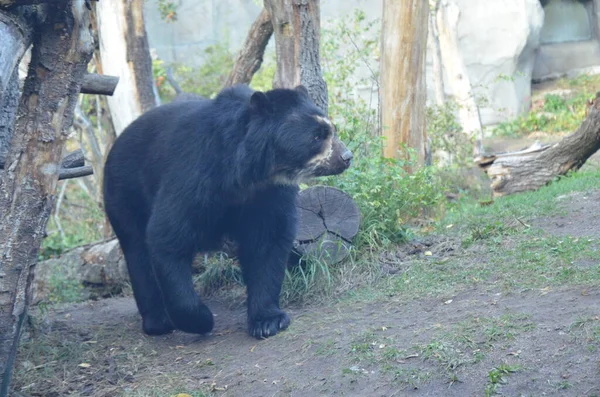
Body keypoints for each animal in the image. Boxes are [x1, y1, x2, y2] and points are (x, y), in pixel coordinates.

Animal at [104, 83, 352, 338]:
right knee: (137, 251)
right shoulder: (194, 175)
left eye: (331, 130)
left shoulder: (269, 193)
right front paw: (201, 319)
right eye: (316, 136)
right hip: (126, 191)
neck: (250, 173)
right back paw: (158, 322)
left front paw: (268, 321)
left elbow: (268, 241)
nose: (346, 157)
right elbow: (168, 236)